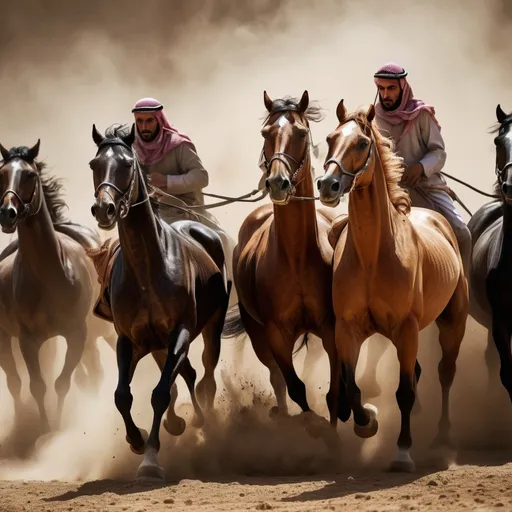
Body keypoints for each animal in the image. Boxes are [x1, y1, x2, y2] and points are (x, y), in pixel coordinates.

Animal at [0, 142, 115, 434]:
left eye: (30, 175)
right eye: (1, 174)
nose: (7, 214)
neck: (49, 274)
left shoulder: (77, 333)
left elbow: (63, 382)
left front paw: (59, 426)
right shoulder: (29, 340)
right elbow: (38, 385)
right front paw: (45, 426)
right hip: (4, 338)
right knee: (14, 381)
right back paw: (22, 419)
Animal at [88, 123, 232, 480]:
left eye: (127, 163)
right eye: (95, 164)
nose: (104, 209)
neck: (147, 271)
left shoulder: (180, 331)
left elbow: (160, 393)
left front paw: (151, 457)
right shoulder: (130, 340)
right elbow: (122, 395)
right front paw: (137, 440)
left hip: (211, 326)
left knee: (205, 376)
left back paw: (203, 420)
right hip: (156, 345)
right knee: (187, 375)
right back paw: (181, 421)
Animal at [222, 92, 342, 428]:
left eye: (300, 133)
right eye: (266, 133)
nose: (278, 183)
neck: (297, 257)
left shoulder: (330, 327)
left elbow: (334, 391)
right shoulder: (275, 333)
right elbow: (295, 387)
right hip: (259, 333)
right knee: (277, 378)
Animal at [318, 101, 470, 472]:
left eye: (361, 143)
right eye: (329, 138)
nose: (327, 184)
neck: (374, 256)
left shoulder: (405, 328)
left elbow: (403, 392)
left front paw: (402, 453)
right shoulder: (347, 329)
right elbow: (350, 388)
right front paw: (367, 421)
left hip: (451, 323)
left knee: (445, 373)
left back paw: (442, 437)